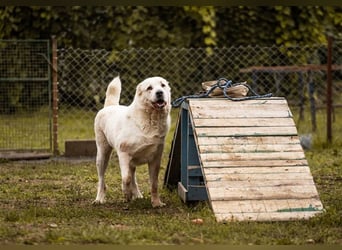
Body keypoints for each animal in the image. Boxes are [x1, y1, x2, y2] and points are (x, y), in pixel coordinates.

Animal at [93, 75, 171, 207]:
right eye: (149, 88)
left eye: (163, 85)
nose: (160, 92)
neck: (150, 120)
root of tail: (109, 107)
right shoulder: (124, 154)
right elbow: (126, 178)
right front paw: (127, 194)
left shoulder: (155, 160)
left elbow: (154, 184)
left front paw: (156, 203)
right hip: (102, 155)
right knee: (101, 179)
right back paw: (99, 198)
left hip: (131, 161)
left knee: (133, 175)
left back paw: (138, 195)